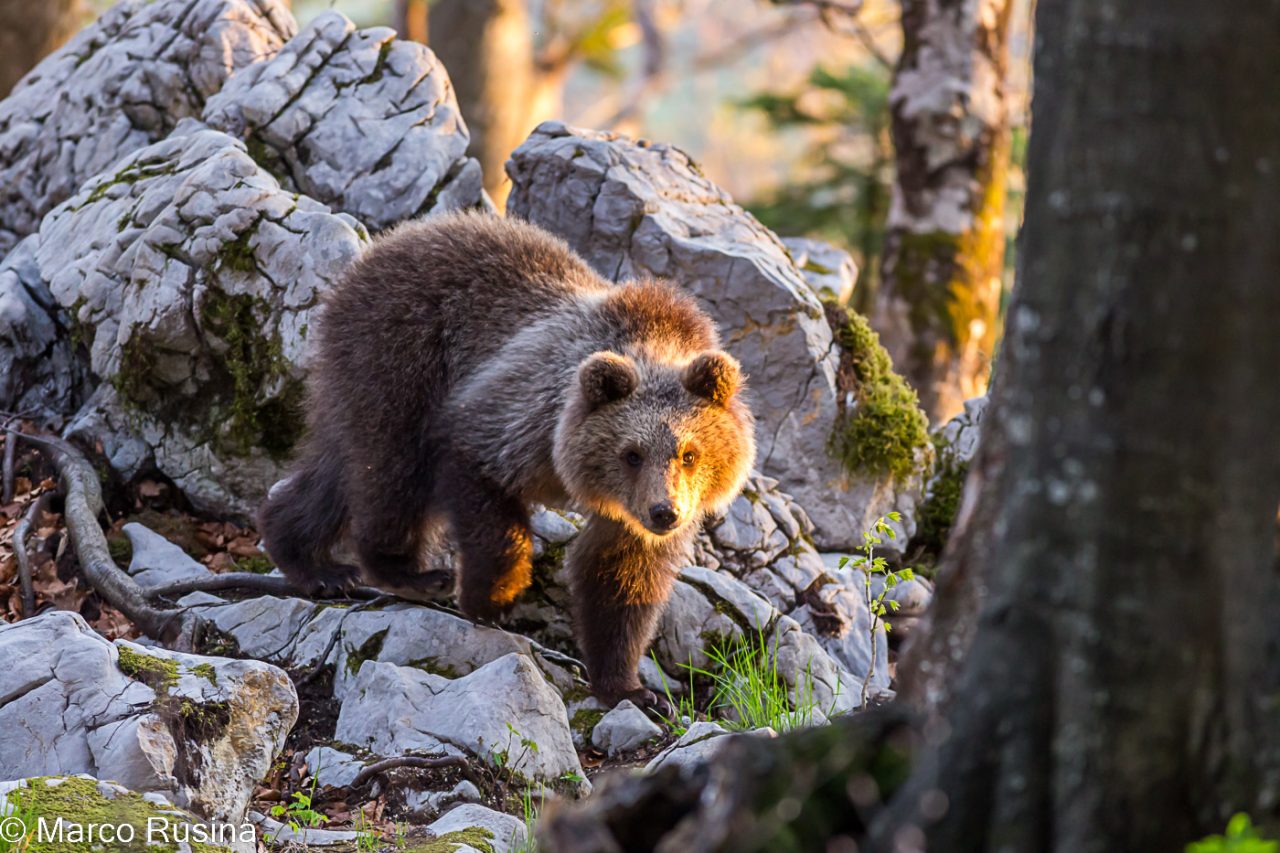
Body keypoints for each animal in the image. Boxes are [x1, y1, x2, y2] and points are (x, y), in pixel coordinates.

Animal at [263, 207, 752, 701]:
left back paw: (311, 560)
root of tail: (389, 240)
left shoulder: (629, 514)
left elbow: (622, 579)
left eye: (689, 454)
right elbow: (482, 486)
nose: (664, 512)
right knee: (392, 468)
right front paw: (493, 597)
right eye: (631, 453)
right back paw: (407, 573)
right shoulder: (519, 415)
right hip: (401, 353)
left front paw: (629, 686)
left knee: (335, 468)